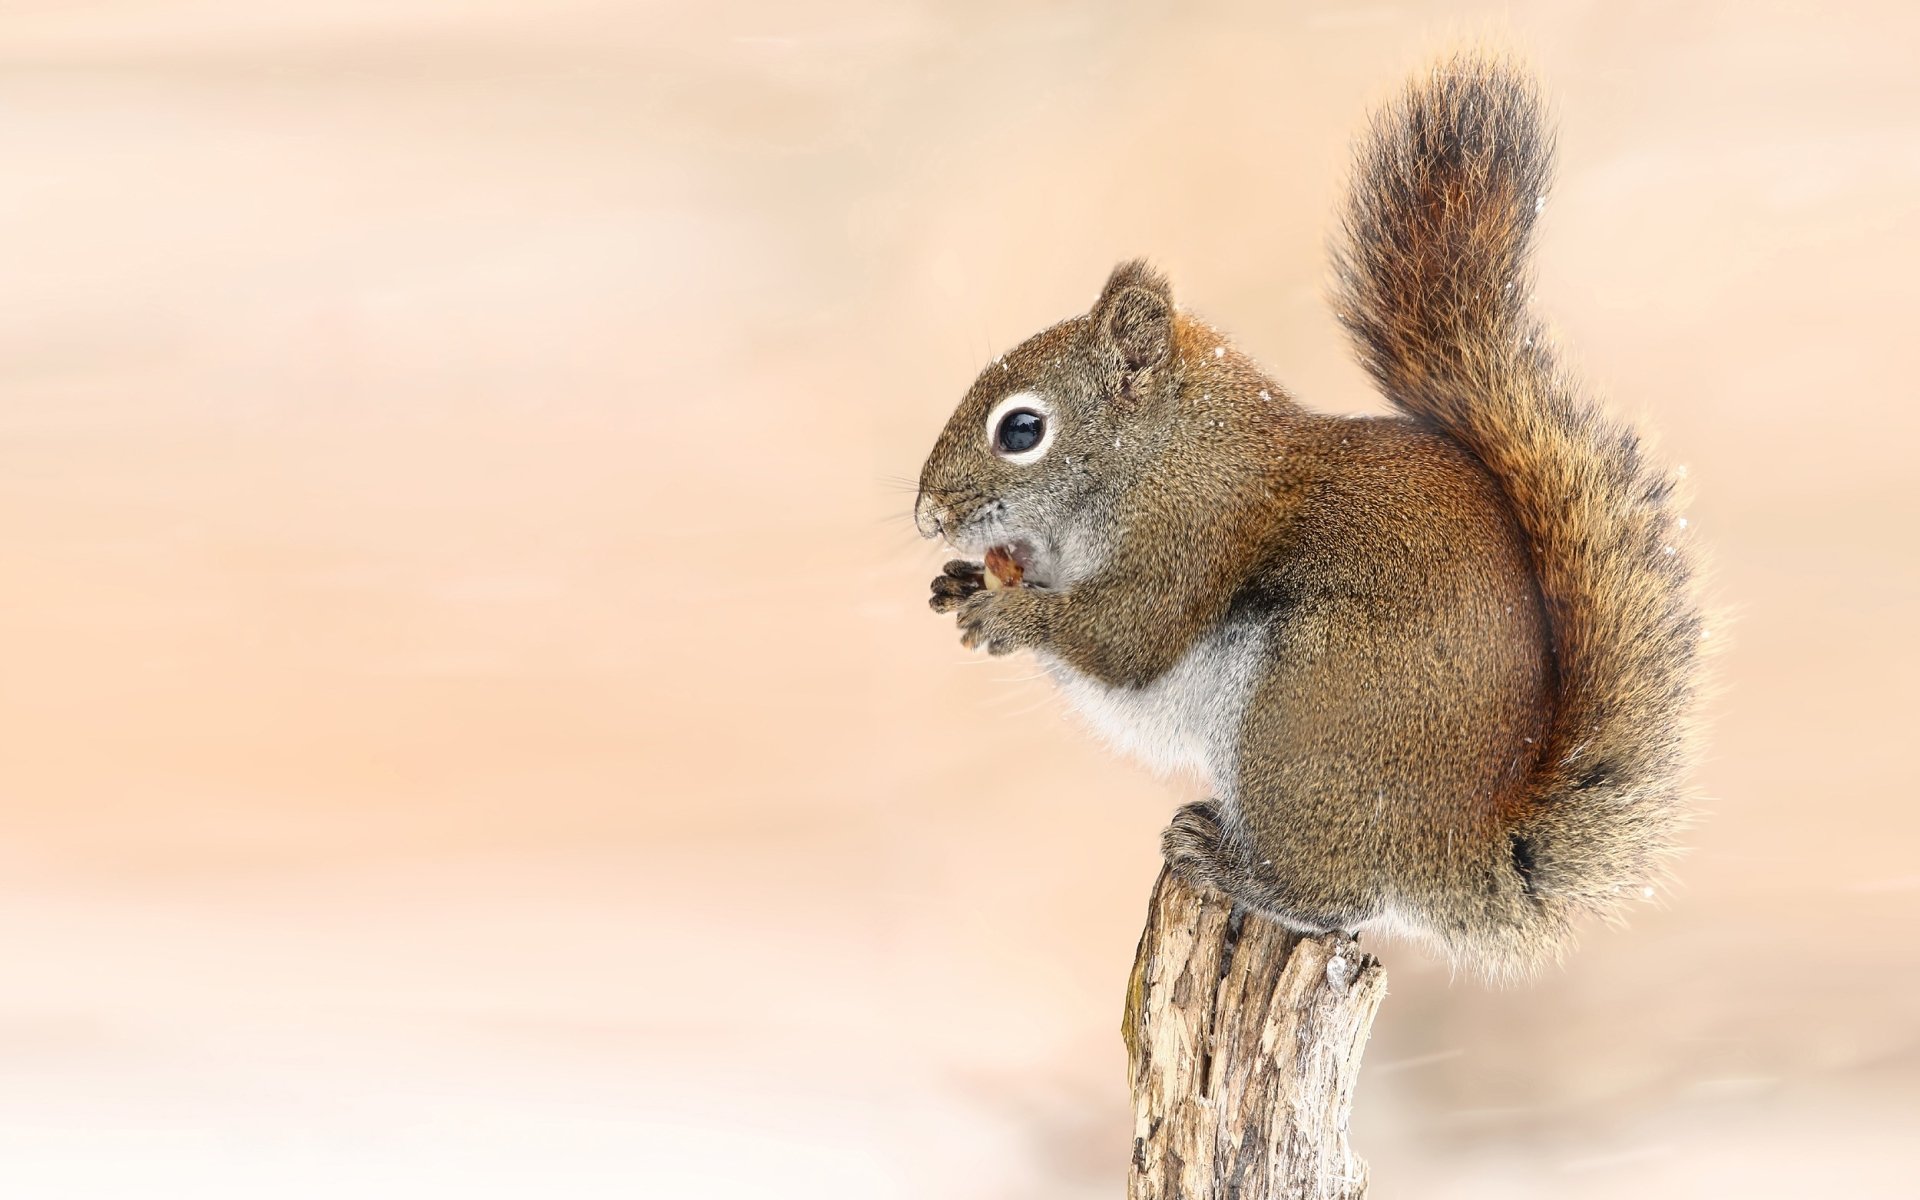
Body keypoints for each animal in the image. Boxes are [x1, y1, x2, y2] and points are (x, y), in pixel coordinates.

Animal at [914, 53, 1703, 979]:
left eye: (1022, 430)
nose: (927, 516)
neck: (1161, 454)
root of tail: (1461, 848)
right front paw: (961, 580)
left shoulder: (1193, 531)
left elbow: (1122, 641)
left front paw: (1007, 612)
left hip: (1306, 712)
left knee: (1333, 898)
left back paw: (1232, 868)